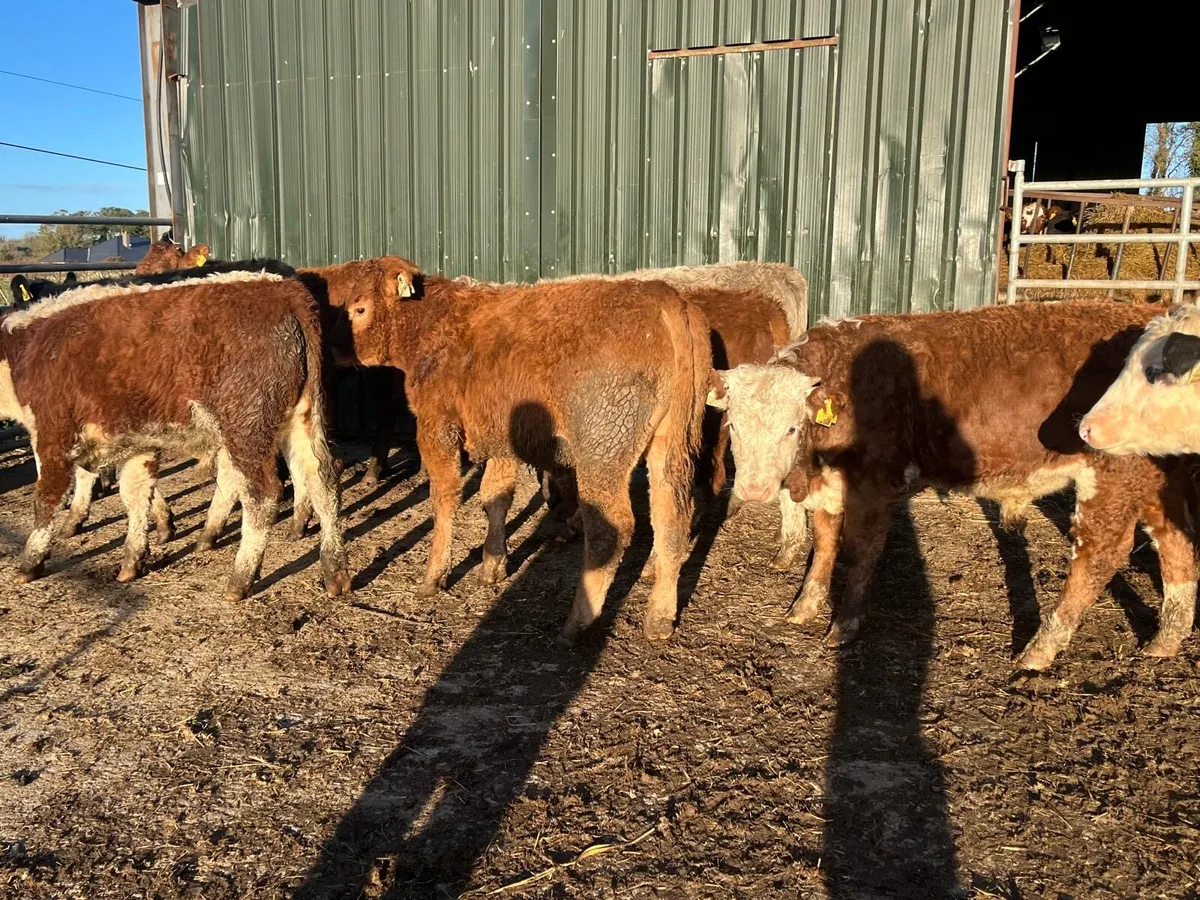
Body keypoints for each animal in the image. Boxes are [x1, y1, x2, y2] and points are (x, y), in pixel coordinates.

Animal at [0, 269, 350, 601]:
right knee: (321, 480)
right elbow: (135, 493)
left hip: (246, 424)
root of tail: (283, 289)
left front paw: (30, 562)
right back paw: (335, 572)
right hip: (302, 416)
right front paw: (134, 557)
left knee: (261, 494)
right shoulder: (136, 442)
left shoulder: (52, 434)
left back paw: (239, 579)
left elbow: (46, 499)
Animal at [328, 273, 711, 643]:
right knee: (671, 517)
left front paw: (434, 575)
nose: (331, 346)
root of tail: (663, 296)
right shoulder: (502, 436)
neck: (434, 322)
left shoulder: (437, 426)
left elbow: (444, 499)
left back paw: (578, 623)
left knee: (610, 528)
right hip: (670, 445)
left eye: (359, 309)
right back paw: (659, 617)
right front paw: (493, 565)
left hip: (602, 445)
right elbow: (495, 497)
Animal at [708, 300, 1197, 670]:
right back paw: (1165, 641)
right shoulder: (831, 487)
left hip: (1113, 474)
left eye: (791, 428)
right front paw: (805, 607)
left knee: (1101, 555)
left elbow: (861, 553)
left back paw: (1039, 650)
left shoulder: (875, 485)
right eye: (734, 425)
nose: (754, 491)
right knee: (1176, 544)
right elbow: (825, 545)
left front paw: (844, 627)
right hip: (1157, 480)